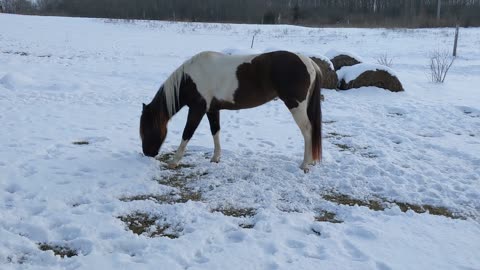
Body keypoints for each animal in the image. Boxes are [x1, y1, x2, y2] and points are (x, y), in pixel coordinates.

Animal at [141, 50, 324, 171]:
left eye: (147, 128)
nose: (147, 153)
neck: (190, 79)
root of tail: (309, 62)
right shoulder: (212, 110)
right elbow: (215, 131)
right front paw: (215, 158)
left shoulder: (197, 109)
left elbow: (187, 133)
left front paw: (174, 161)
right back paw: (311, 162)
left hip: (296, 105)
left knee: (308, 130)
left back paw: (305, 164)